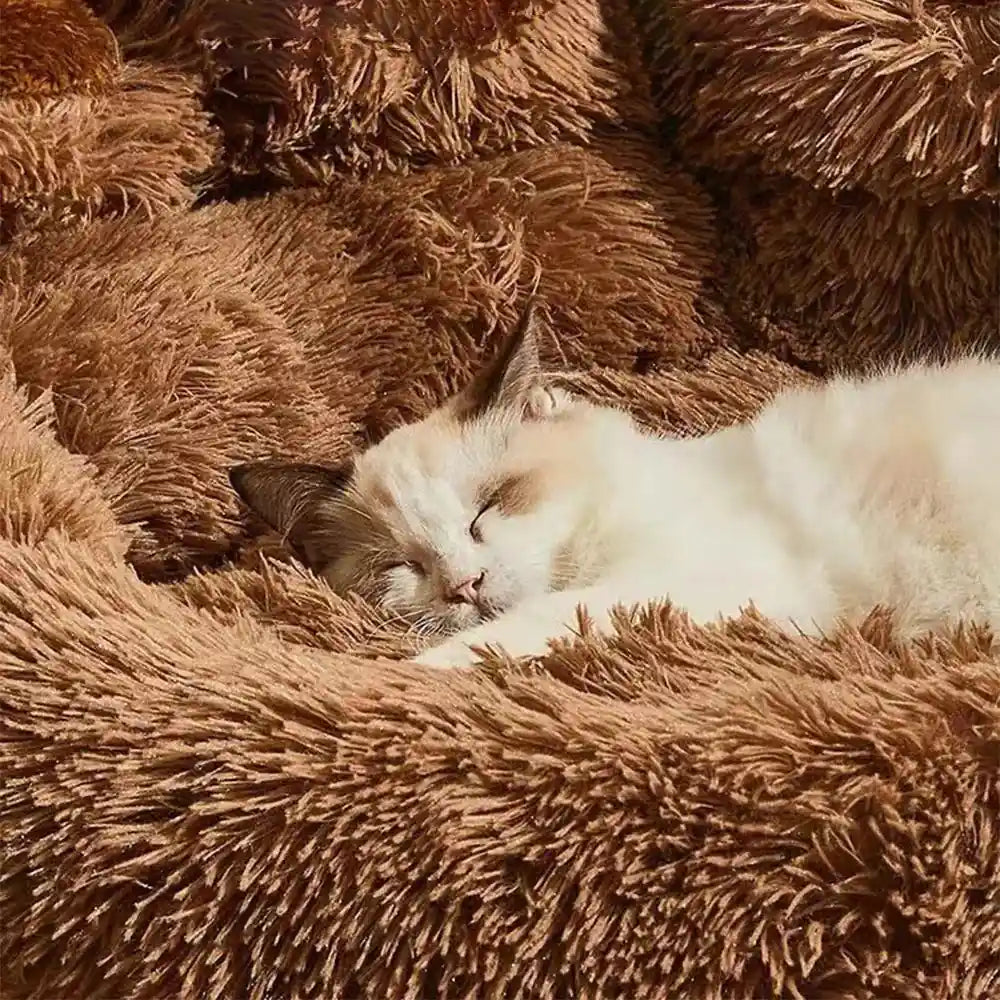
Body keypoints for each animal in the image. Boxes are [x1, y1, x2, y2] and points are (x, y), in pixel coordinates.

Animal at [229, 300, 1000, 668]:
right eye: (401, 565)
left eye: (489, 507)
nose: (465, 586)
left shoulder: (683, 582)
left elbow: (527, 626)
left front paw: (414, 678)